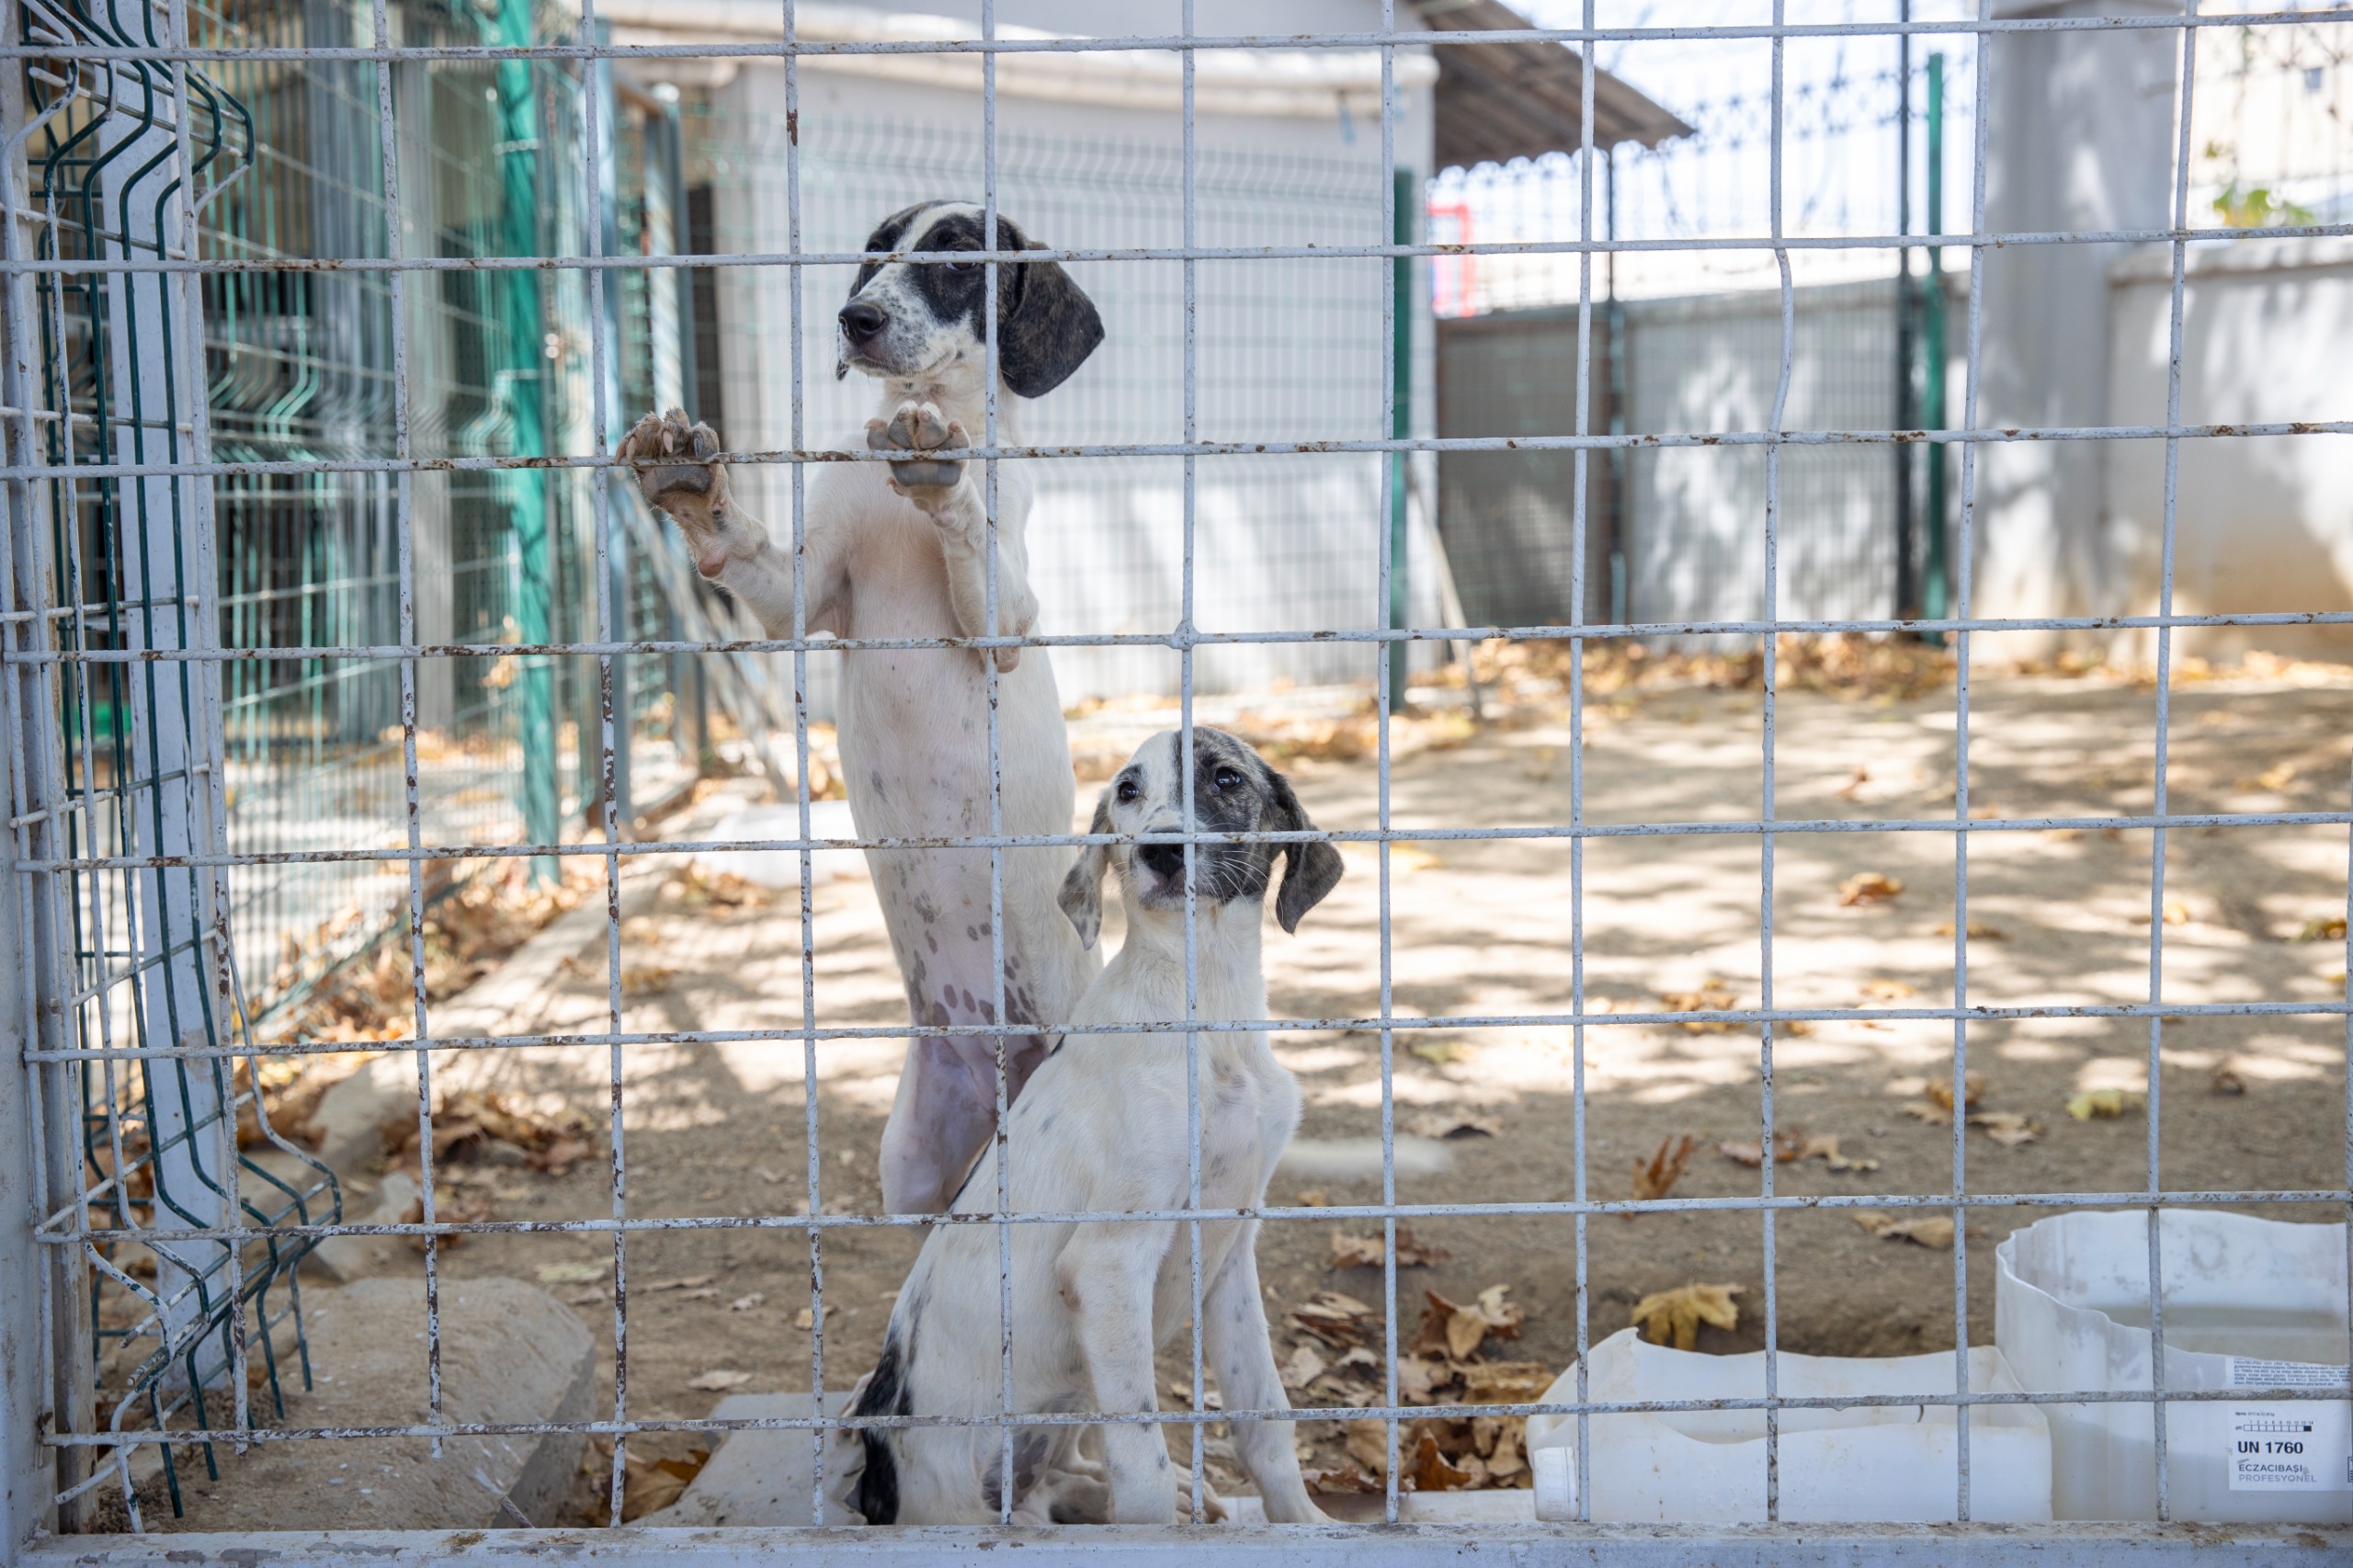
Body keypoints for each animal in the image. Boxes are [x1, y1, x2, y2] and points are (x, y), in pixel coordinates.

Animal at [620, 201, 1106, 1214]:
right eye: (875, 253)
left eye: (957, 259)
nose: (856, 319)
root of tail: (1001, 1067)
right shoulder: (798, 596)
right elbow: (741, 551)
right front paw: (690, 483)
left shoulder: (1007, 623)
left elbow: (976, 543)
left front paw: (942, 477)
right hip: (913, 1161)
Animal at [833, 724, 1346, 1516]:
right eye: (1129, 791)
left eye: (1226, 778)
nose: (1161, 852)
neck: (1206, 1004)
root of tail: (874, 1481)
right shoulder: (1108, 1261)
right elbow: (1143, 1458)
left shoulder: (1233, 1251)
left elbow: (1266, 1418)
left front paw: (1301, 1522)